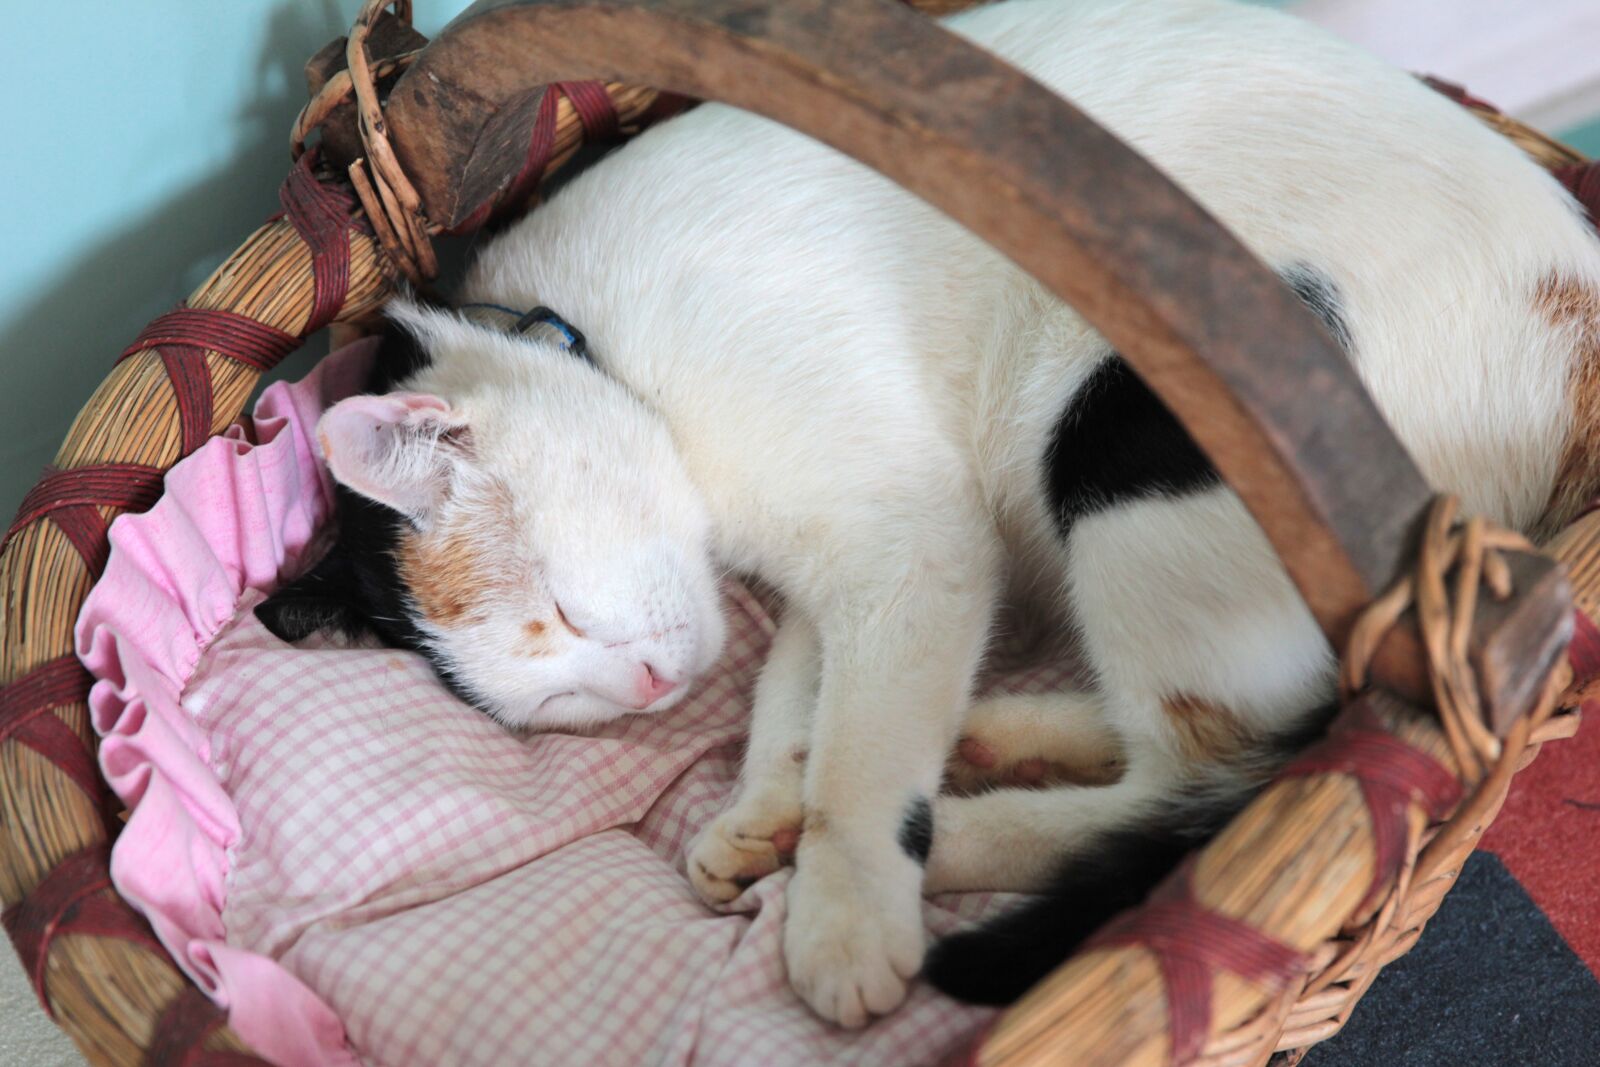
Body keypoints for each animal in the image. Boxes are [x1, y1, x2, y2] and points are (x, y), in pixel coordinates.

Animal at [259, 0, 1600, 1030]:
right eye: (558, 701)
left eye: (558, 612)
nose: (639, 688)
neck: (599, 335)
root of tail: (1576, 296)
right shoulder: (848, 563)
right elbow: (797, 690)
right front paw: (763, 802)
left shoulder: (910, 541)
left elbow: (865, 748)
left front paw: (843, 893)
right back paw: (989, 737)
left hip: (1131, 430)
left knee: (1198, 775)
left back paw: (941, 840)